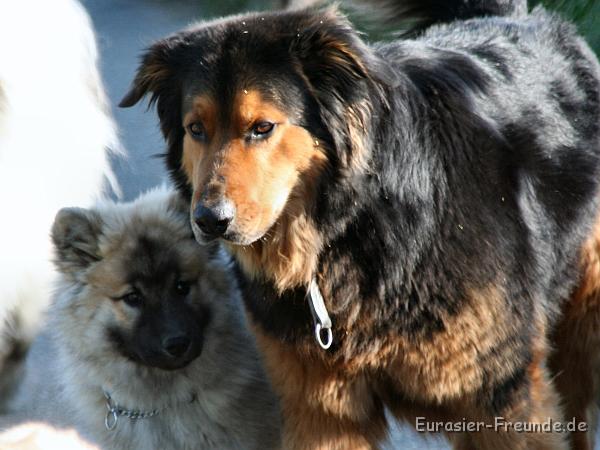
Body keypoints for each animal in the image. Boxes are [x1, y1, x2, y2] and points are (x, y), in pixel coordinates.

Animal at [120, 1, 600, 448]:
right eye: (196, 129)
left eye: (262, 127)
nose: (209, 220)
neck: (353, 228)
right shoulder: (322, 411)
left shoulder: (501, 398)